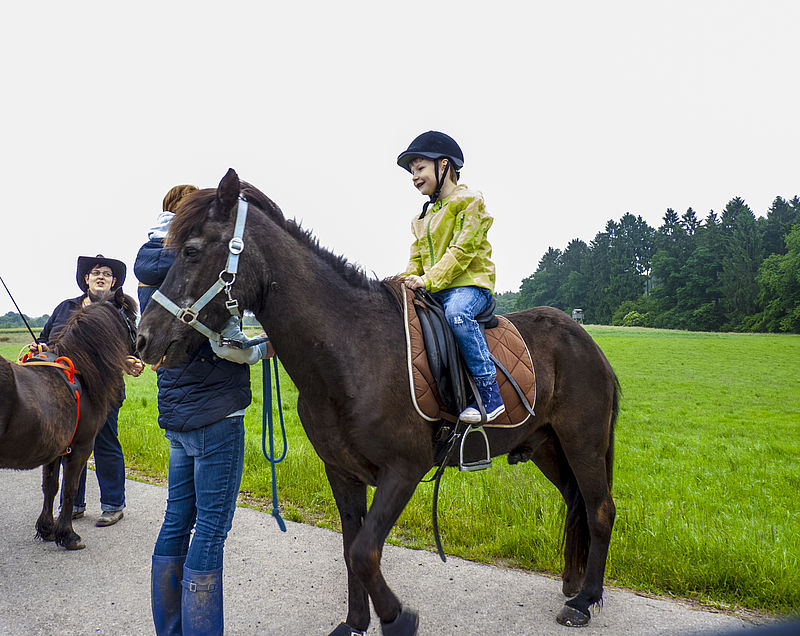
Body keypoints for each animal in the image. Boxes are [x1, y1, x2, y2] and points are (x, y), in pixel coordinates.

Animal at [0, 290, 136, 550]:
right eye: (133, 317)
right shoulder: (82, 447)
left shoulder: (56, 448)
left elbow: (51, 486)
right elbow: (70, 489)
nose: (144, 347)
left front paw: (47, 529)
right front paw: (68, 534)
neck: (81, 371)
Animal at [136, 169, 619, 634]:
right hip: (548, 447)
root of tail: (587, 342)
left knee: (600, 510)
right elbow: (351, 549)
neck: (351, 352)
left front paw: (396, 618)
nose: (143, 339)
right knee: (577, 504)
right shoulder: (341, 471)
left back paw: (584, 601)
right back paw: (573, 584)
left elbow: (365, 552)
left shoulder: (403, 470)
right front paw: (355, 623)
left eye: (192, 251)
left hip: (583, 444)